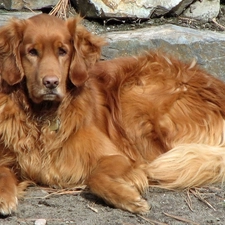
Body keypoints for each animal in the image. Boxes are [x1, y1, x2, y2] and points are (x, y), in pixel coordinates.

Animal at [0, 12, 225, 216]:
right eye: (32, 52)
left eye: (62, 51)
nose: (51, 83)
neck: (42, 117)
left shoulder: (118, 156)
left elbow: (95, 177)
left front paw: (128, 197)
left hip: (135, 97)